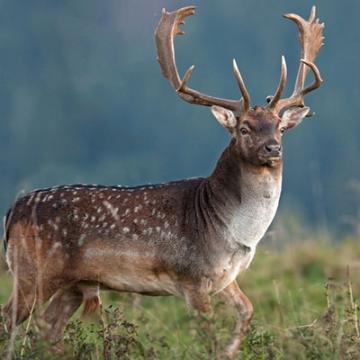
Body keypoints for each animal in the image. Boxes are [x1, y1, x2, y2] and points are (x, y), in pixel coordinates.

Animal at [2, 4, 324, 358]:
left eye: (279, 127)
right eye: (244, 128)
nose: (273, 148)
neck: (233, 232)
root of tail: (12, 211)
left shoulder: (225, 277)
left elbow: (247, 311)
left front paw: (230, 350)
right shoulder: (192, 277)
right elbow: (207, 333)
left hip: (74, 283)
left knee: (48, 328)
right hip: (33, 271)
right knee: (9, 320)